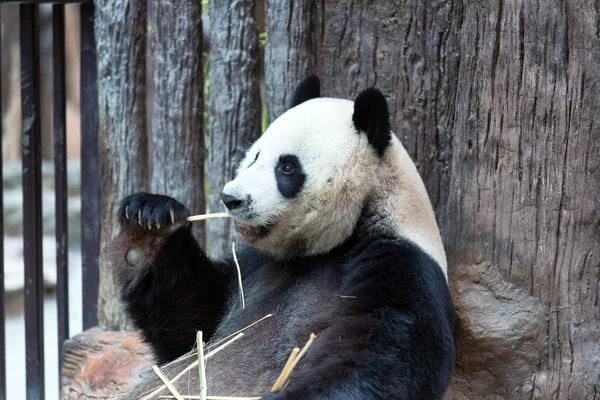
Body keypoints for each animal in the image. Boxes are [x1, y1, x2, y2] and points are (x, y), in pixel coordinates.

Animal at [112, 76, 454, 400]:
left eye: (287, 167)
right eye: (255, 156)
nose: (231, 198)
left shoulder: (401, 267)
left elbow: (381, 362)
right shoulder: (252, 268)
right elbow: (189, 328)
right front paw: (149, 223)